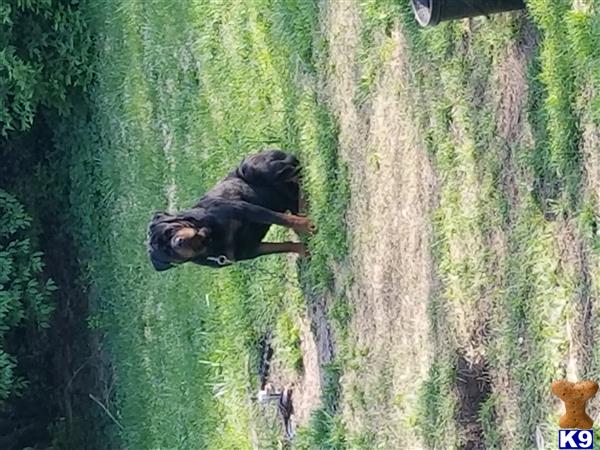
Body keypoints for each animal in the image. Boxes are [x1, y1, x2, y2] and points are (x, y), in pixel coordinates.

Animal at [146, 150, 314, 270]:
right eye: (167, 251)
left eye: (169, 231)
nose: (178, 242)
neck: (209, 238)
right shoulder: (249, 249)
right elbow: (286, 245)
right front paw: (305, 251)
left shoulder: (244, 209)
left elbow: (282, 219)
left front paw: (307, 226)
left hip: (252, 168)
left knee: (295, 171)